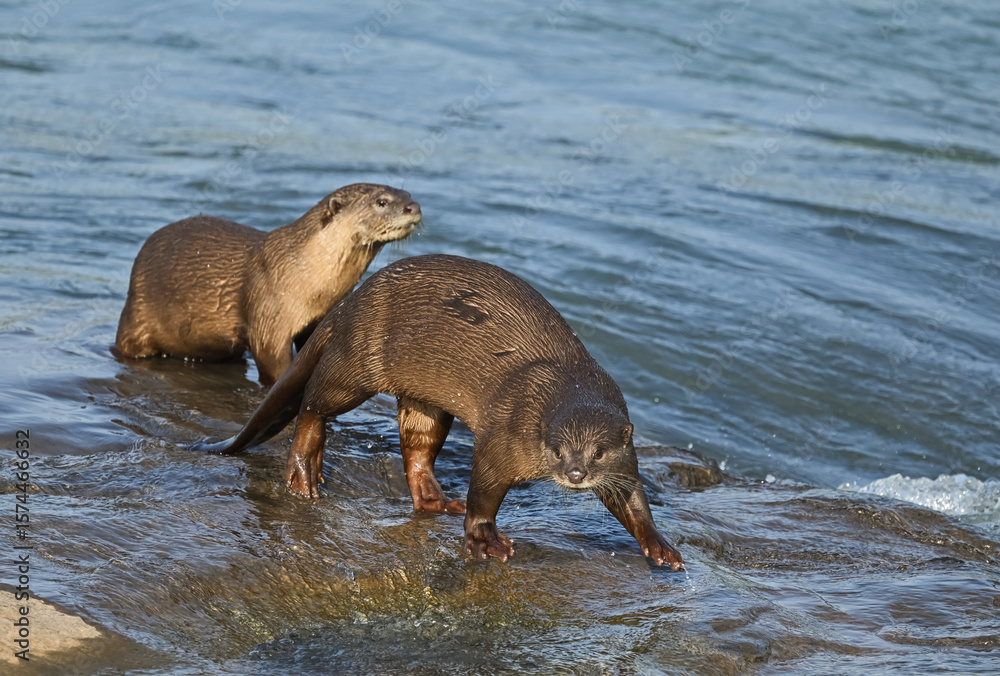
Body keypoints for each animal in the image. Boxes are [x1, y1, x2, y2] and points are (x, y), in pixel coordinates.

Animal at [115, 183, 420, 385]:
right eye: (381, 202)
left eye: (408, 194)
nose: (414, 206)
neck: (303, 273)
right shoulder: (269, 318)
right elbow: (273, 363)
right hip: (136, 317)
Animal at [192, 254, 684, 569]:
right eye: (558, 449)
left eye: (597, 452)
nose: (576, 474)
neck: (566, 381)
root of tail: (352, 300)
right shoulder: (506, 435)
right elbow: (484, 490)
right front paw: (484, 540)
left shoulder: (624, 458)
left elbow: (631, 500)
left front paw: (660, 547)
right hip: (357, 363)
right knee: (315, 403)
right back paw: (303, 473)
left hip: (424, 401)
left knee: (418, 447)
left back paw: (434, 500)